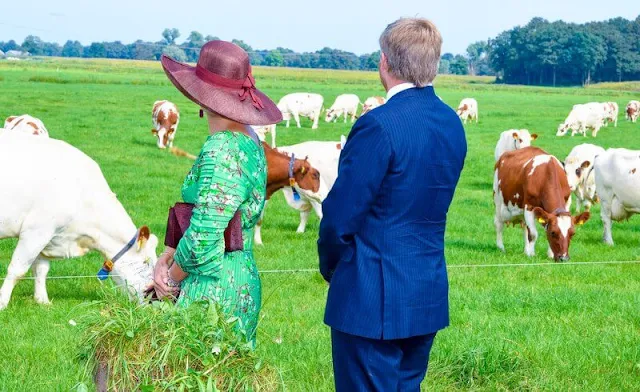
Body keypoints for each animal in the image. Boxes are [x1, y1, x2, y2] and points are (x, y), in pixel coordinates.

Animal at [0, 132, 159, 310]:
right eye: (146, 262)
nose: (153, 298)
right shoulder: (36, 230)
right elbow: (17, 270)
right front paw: (2, 303)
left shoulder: (49, 235)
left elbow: (41, 269)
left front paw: (42, 300)